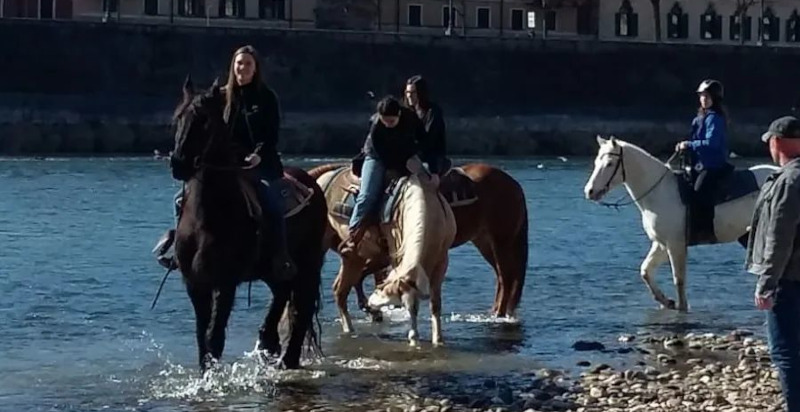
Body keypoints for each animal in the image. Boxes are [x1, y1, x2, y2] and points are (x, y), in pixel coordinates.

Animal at [168, 77, 327, 370]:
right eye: (178, 118)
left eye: (204, 120)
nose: (178, 164)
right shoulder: (195, 283)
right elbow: (201, 337)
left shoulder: (225, 281)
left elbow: (214, 337)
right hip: (273, 268)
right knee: (282, 293)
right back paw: (268, 341)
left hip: (309, 263)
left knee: (301, 307)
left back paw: (287, 359)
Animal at [309, 162, 529, 319]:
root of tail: (514, 185)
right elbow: (366, 278)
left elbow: (363, 277)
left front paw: (374, 308)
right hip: (485, 242)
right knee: (502, 278)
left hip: (501, 241)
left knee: (506, 278)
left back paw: (499, 314)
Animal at [314, 162, 456, 346]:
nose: (374, 303)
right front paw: (414, 337)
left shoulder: (441, 261)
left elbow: (435, 304)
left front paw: (437, 340)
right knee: (338, 290)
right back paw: (350, 328)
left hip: (360, 257)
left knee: (343, 287)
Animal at [584, 135, 777, 312]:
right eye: (596, 161)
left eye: (609, 163)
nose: (589, 191)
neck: (660, 192)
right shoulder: (661, 244)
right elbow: (645, 270)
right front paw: (666, 301)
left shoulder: (675, 244)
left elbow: (679, 278)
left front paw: (681, 306)